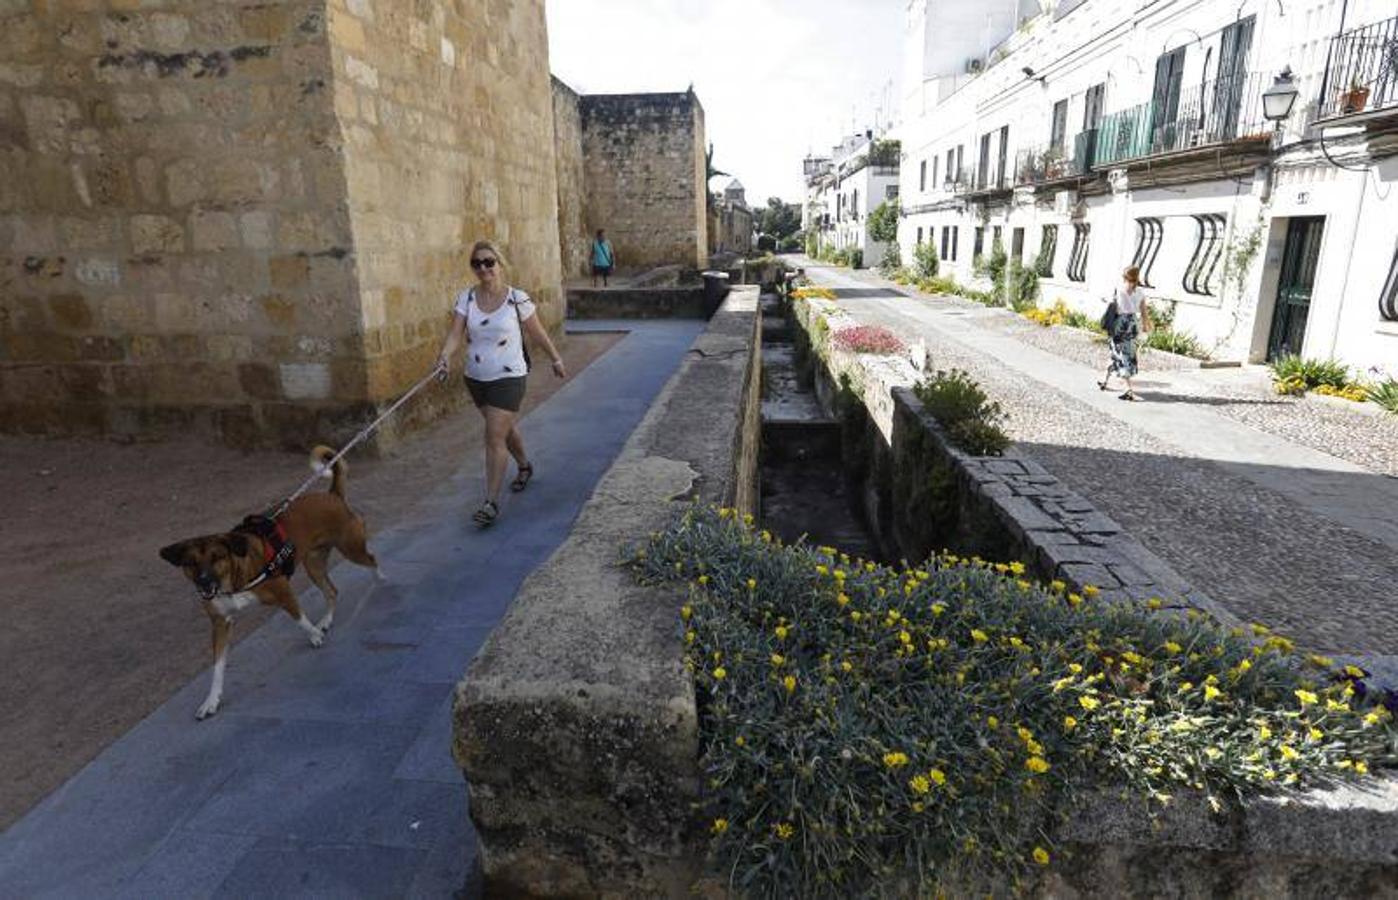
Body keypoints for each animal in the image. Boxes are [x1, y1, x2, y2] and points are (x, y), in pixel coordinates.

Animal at [160, 447, 380, 721]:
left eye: (217, 557)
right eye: (190, 563)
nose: (203, 582)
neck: (233, 581)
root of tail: (332, 495)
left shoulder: (283, 591)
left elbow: (300, 618)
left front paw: (314, 636)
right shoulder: (220, 623)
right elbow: (218, 667)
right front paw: (211, 700)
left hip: (351, 548)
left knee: (372, 560)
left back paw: (379, 579)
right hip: (314, 565)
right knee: (332, 590)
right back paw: (326, 620)